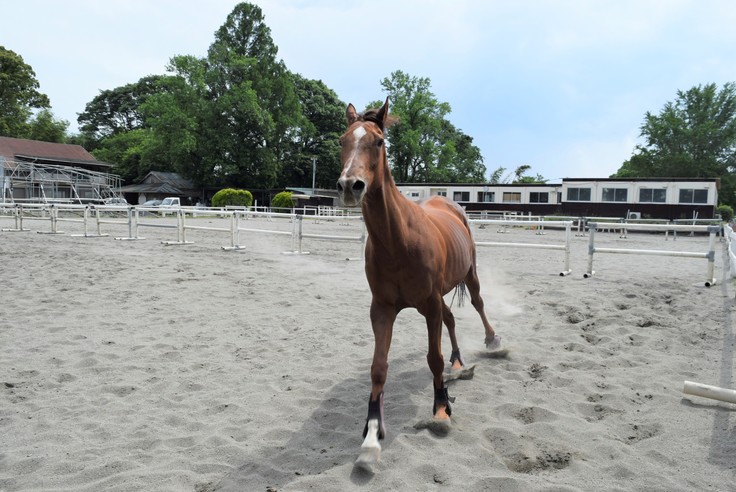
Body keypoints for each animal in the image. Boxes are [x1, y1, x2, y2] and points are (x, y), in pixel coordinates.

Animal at [338, 97, 500, 466]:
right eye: (342, 140)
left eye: (378, 142)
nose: (350, 186)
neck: (398, 242)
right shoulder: (382, 309)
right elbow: (378, 368)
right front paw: (371, 435)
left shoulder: (428, 305)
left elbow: (433, 358)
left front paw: (441, 408)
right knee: (452, 320)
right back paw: (459, 362)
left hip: (469, 274)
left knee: (478, 304)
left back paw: (492, 341)